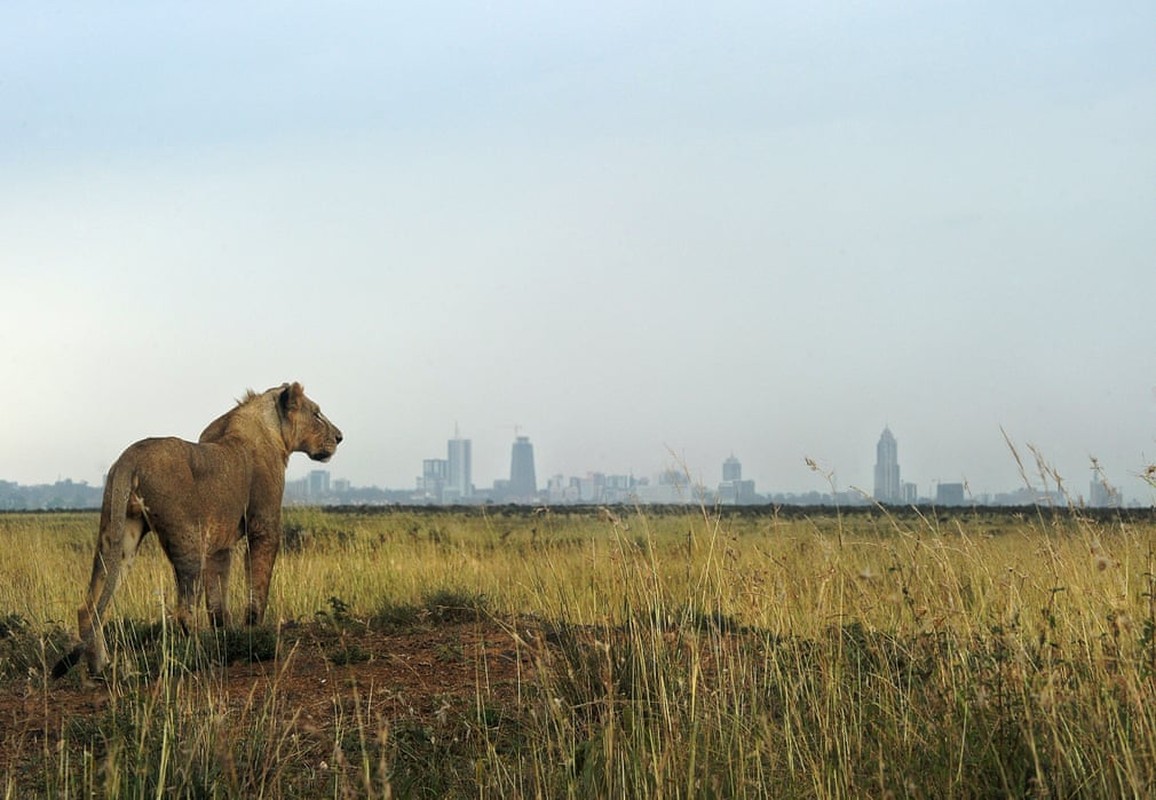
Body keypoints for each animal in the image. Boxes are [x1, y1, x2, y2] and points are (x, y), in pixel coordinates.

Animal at [52, 381, 339, 675]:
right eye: (317, 414)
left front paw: (227, 640)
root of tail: (129, 457)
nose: (339, 437)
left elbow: (217, 603)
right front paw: (255, 638)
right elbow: (257, 589)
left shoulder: (220, 546)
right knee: (183, 610)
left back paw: (102, 668)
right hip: (188, 540)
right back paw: (202, 659)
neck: (271, 429)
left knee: (89, 607)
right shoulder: (264, 526)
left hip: (119, 535)